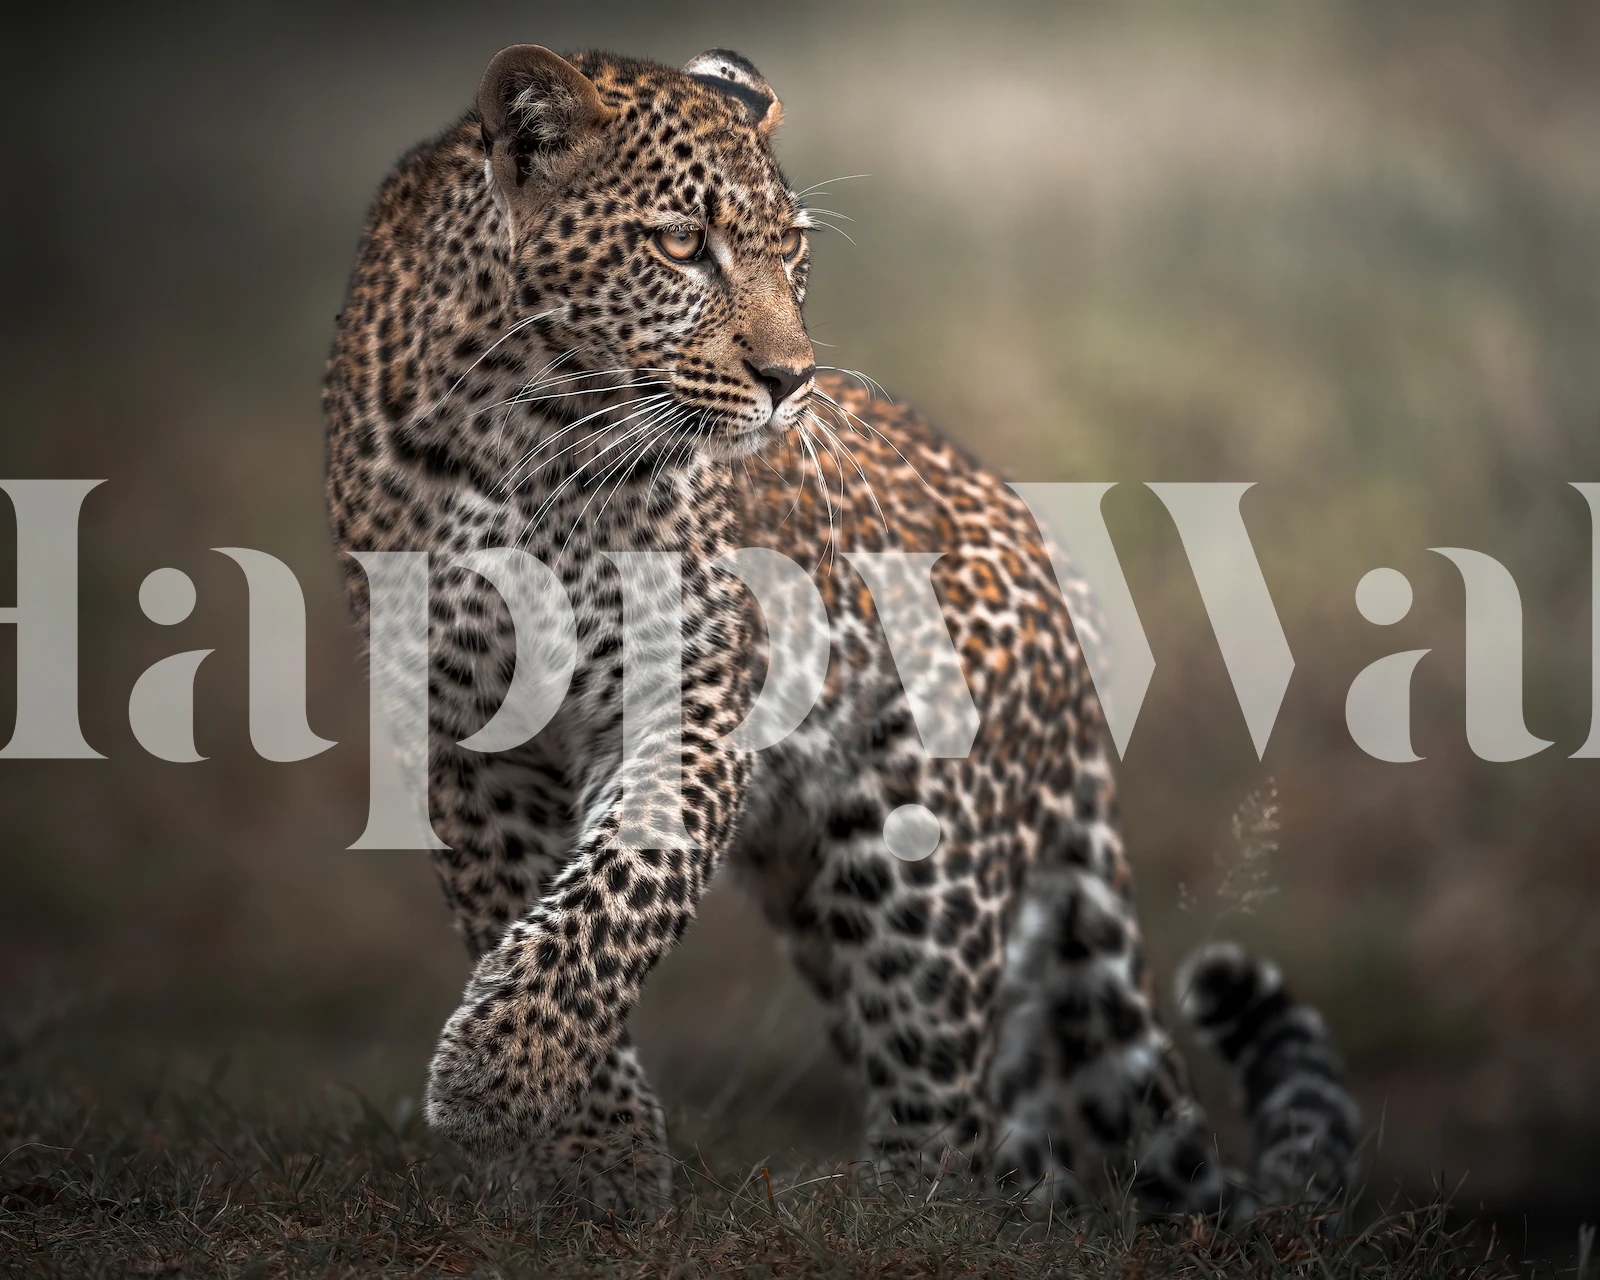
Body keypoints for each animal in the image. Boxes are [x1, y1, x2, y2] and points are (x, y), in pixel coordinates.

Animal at [323, 43, 1359, 1219]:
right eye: (681, 244)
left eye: (794, 254)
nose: (790, 382)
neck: (520, 436)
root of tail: (1071, 609)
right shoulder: (464, 736)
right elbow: (524, 910)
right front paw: (591, 1144)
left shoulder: (687, 697)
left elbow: (615, 899)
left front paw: (500, 1076)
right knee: (1021, 1131)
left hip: (918, 872)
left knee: (951, 1116)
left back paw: (901, 1218)